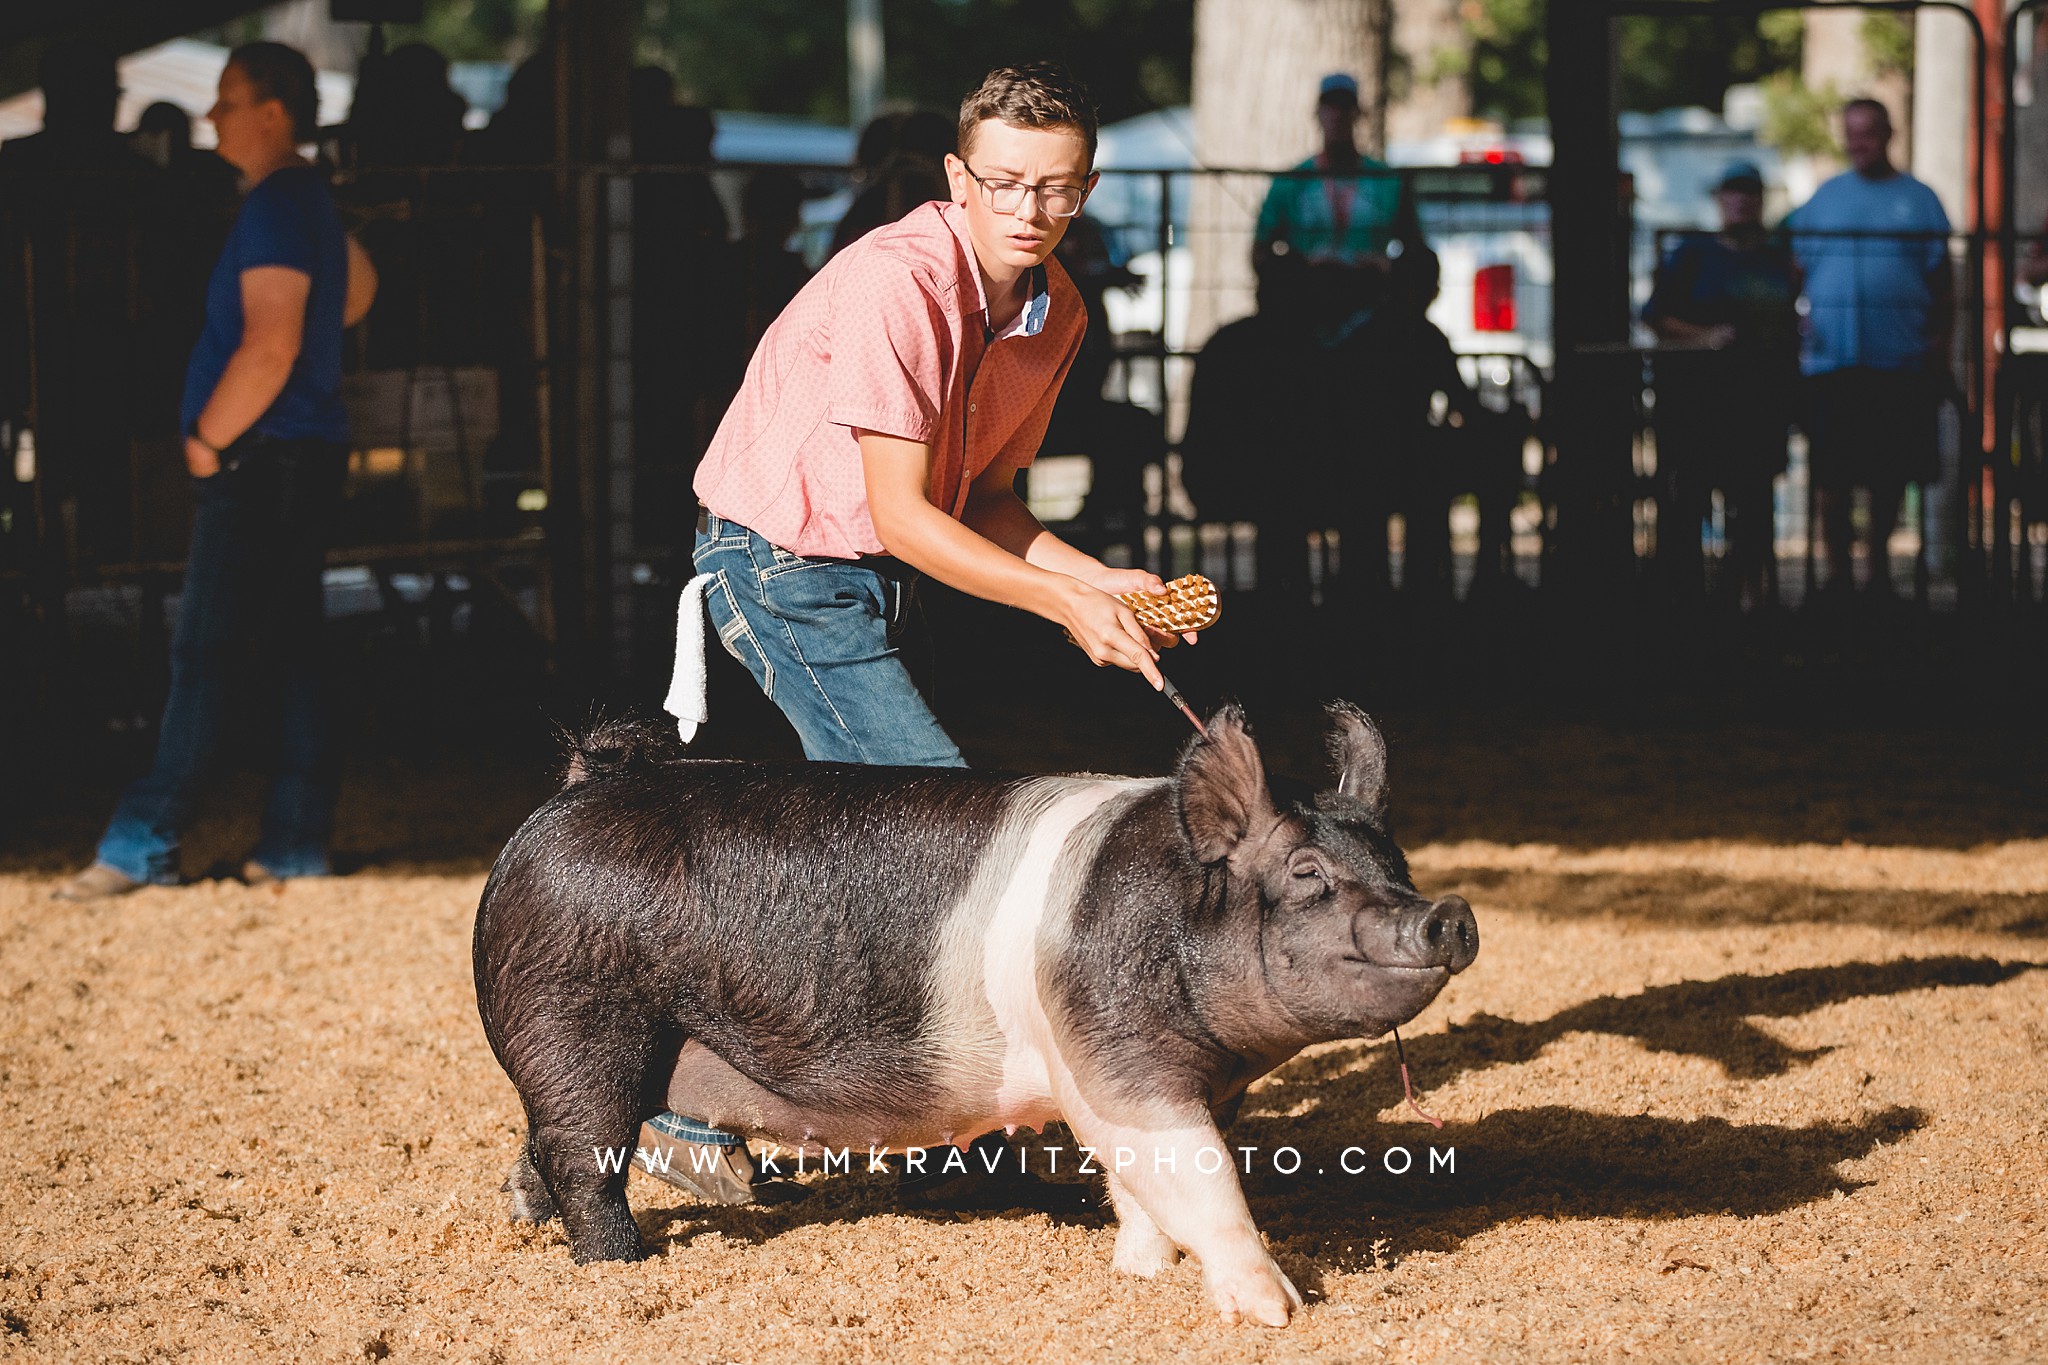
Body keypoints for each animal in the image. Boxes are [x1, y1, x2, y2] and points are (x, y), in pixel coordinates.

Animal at [475, 703, 1474, 1326]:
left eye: (1394, 860)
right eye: (1308, 873)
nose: (1449, 913)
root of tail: (569, 794)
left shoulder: (1146, 1071)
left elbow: (1145, 1181)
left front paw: (1140, 1271)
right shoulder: (1114, 1050)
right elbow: (1197, 1173)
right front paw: (1278, 1310)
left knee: (547, 1142)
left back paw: (526, 1218)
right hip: (577, 1012)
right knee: (583, 1156)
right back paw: (621, 1265)